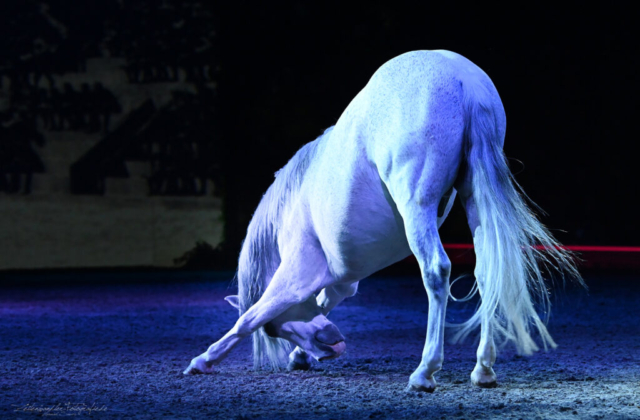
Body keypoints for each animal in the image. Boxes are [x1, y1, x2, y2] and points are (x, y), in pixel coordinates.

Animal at [184, 50, 580, 392]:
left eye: (275, 332)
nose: (333, 346)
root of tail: (463, 79)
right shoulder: (342, 280)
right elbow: (325, 299)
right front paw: (299, 355)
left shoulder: (293, 278)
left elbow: (249, 317)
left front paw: (203, 360)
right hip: (475, 201)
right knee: (487, 273)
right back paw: (483, 369)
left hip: (417, 206)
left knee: (436, 271)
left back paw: (424, 372)